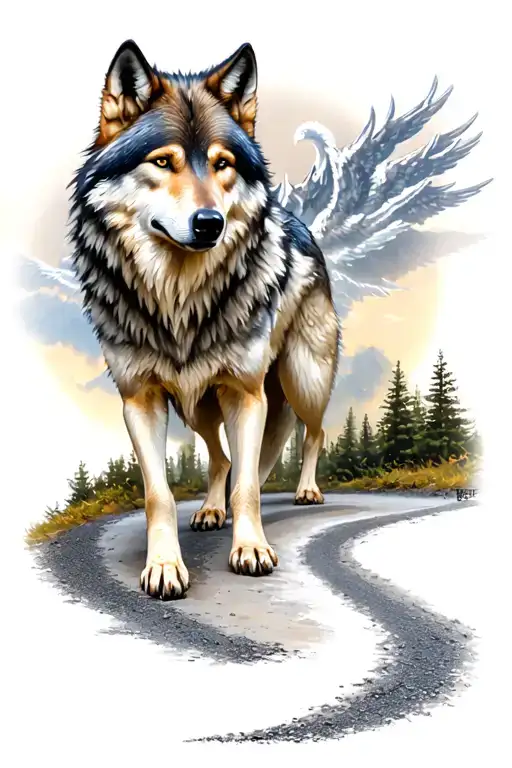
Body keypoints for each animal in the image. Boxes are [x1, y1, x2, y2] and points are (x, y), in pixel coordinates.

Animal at [70, 40, 340, 599]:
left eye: (222, 164)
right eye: (163, 161)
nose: (210, 223)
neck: (180, 298)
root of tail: (301, 225)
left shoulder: (246, 391)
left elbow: (249, 488)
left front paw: (251, 549)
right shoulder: (140, 399)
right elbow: (160, 494)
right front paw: (164, 567)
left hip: (299, 379)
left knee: (311, 434)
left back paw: (305, 490)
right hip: (197, 406)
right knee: (220, 458)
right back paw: (211, 511)